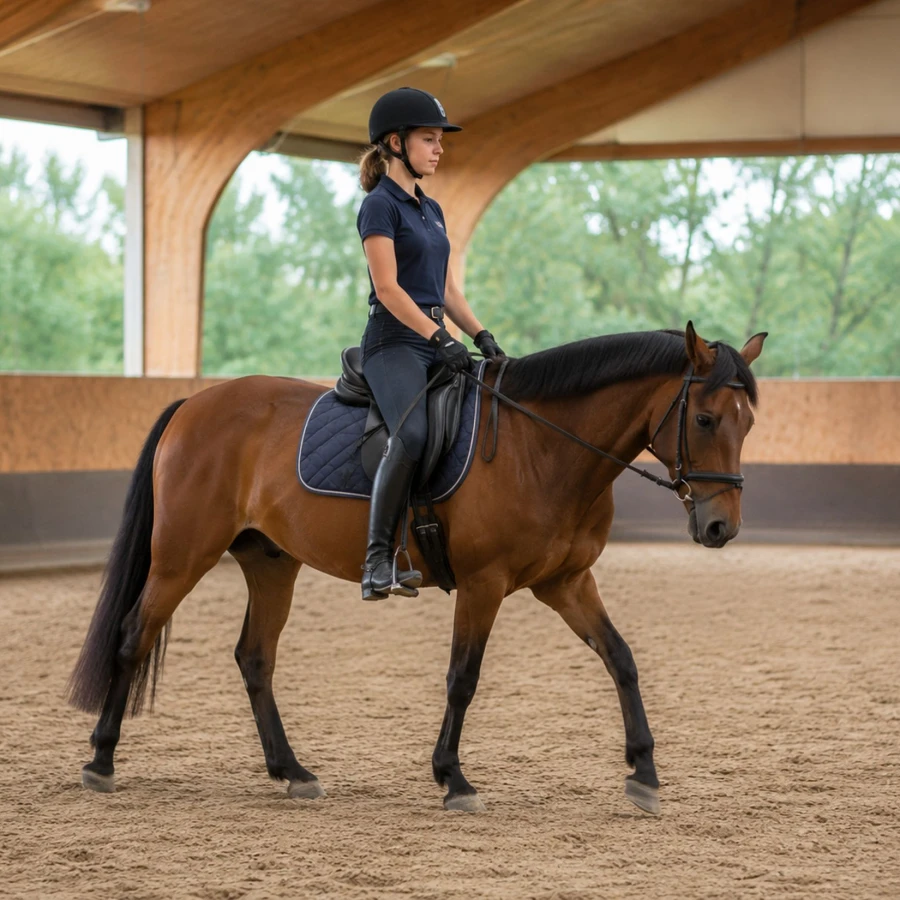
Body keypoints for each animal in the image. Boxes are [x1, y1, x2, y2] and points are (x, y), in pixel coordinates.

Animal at [68, 322, 766, 815]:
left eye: (748, 422)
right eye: (705, 418)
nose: (720, 528)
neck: (541, 446)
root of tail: (194, 403)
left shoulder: (566, 582)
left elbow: (621, 658)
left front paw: (644, 772)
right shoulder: (485, 584)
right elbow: (463, 677)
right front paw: (453, 778)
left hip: (271, 562)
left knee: (254, 658)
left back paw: (292, 772)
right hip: (182, 555)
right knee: (134, 635)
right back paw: (101, 762)